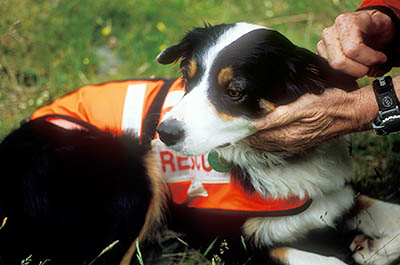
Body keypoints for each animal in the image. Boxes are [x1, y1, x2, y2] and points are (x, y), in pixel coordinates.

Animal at [156, 22, 400, 264]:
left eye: (234, 91)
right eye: (188, 78)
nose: (165, 133)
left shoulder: (340, 196)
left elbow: (394, 216)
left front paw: (373, 250)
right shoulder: (228, 246)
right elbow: (333, 261)